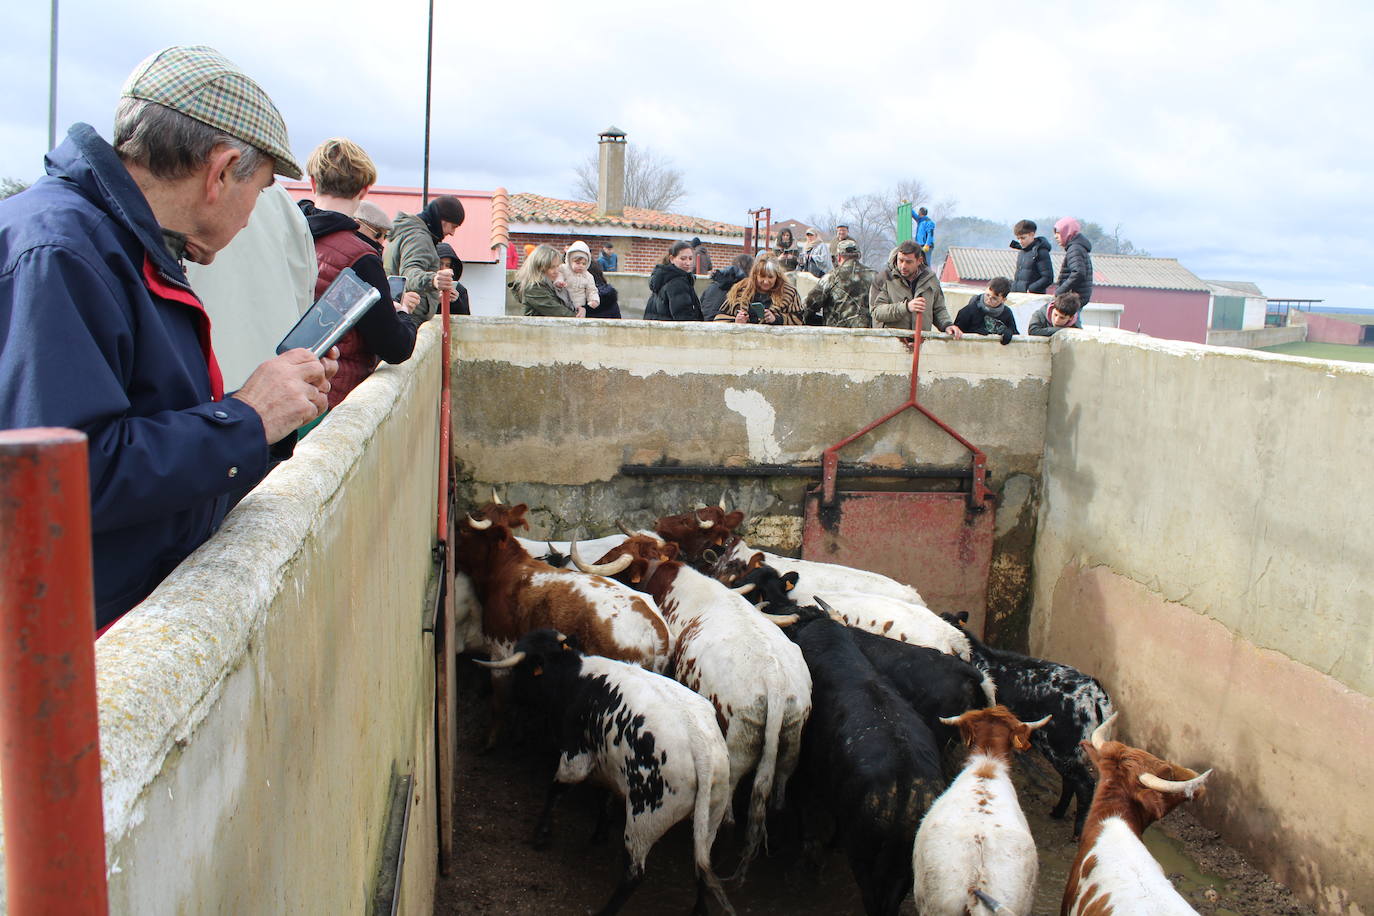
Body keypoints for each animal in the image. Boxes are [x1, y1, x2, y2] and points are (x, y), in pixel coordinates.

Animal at [939, 615, 1110, 840]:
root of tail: (1094, 693)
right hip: (1068, 751)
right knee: (1070, 781)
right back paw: (1058, 812)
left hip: (1061, 748)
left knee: (1084, 785)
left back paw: (1077, 832)